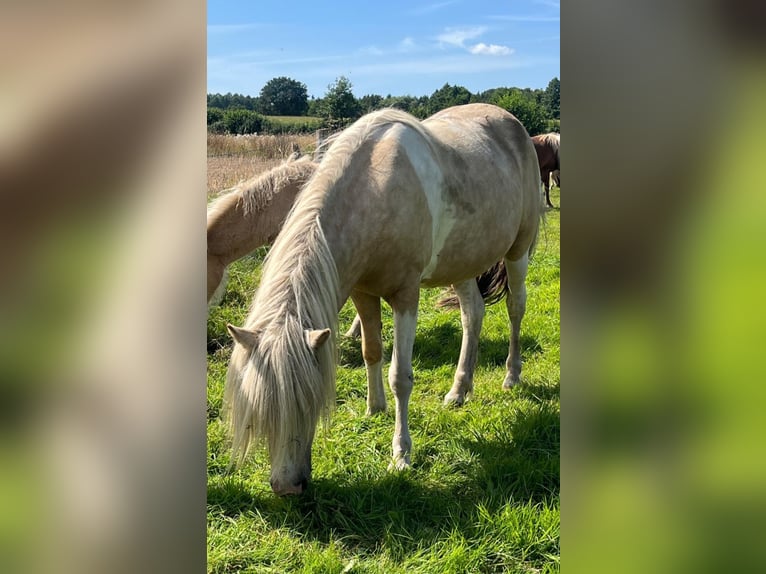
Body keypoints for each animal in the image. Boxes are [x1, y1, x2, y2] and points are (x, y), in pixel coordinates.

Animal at [224, 103, 542, 495]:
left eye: (309, 402)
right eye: (260, 410)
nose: (287, 487)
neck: (375, 190)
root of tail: (514, 124)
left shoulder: (405, 296)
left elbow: (400, 376)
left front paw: (401, 454)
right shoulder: (362, 292)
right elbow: (370, 351)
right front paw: (374, 409)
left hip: (518, 251)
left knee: (515, 308)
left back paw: (512, 376)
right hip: (463, 262)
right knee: (473, 314)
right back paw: (459, 390)